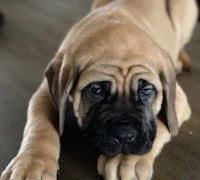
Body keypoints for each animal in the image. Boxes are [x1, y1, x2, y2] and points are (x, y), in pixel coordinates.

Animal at [0, 0, 198, 180]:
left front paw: (125, 159)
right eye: (96, 90)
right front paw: (32, 163)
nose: (125, 136)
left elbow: (163, 121)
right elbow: (40, 124)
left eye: (146, 90)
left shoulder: (178, 98)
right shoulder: (45, 93)